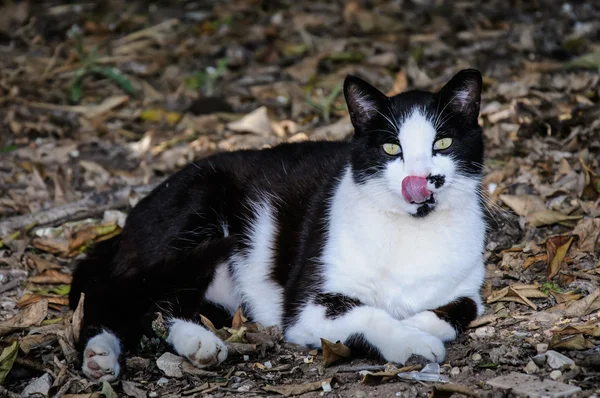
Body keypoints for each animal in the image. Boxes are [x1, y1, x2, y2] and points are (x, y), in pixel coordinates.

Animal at [69, 70, 488, 380]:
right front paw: (411, 340)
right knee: (114, 294)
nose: (421, 180)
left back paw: (198, 343)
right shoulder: (307, 306)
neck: (411, 233)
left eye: (443, 143)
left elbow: (462, 309)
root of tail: (127, 224)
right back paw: (100, 354)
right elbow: (371, 315)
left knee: (161, 306)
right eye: (391, 149)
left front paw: (421, 324)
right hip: (193, 213)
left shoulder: (469, 287)